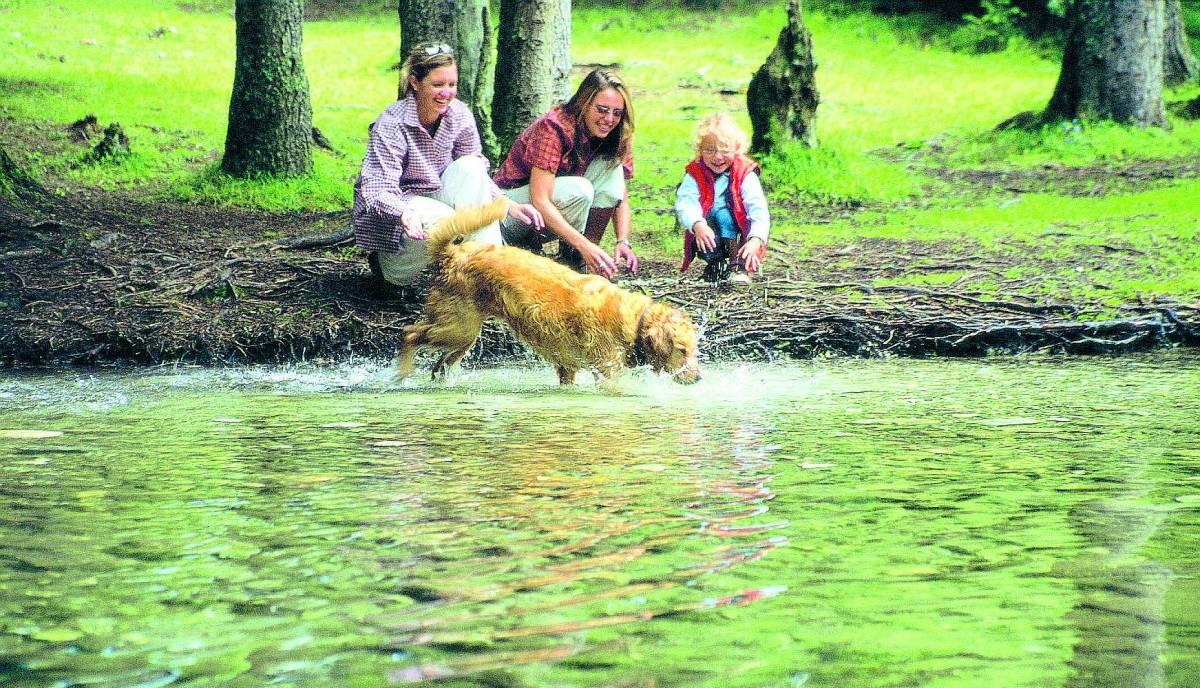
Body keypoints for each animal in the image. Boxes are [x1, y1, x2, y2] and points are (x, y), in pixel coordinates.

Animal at [393, 196, 700, 386]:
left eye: (694, 349)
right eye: (681, 350)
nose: (698, 378)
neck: (634, 322)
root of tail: (452, 253)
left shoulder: (567, 368)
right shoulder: (607, 374)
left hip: (463, 335)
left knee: (438, 366)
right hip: (458, 328)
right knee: (409, 334)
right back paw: (401, 377)